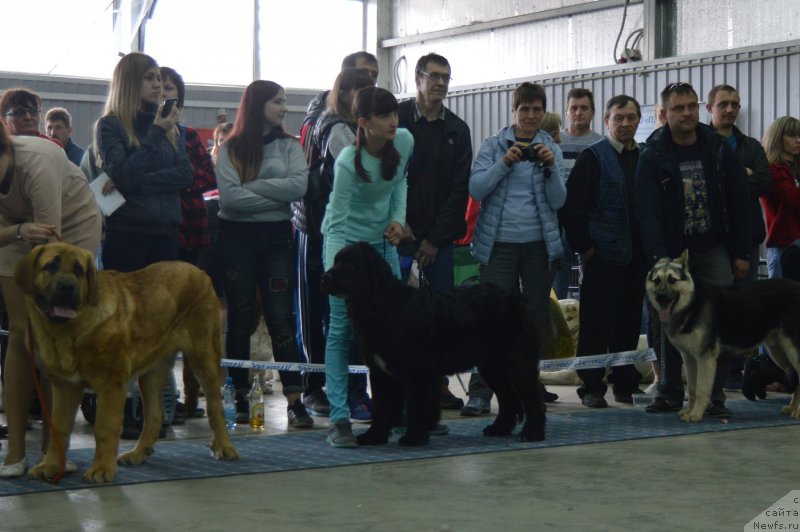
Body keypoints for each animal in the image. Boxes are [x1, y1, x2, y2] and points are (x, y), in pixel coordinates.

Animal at [14, 243, 238, 484]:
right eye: (51, 266)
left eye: (79, 270)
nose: (67, 287)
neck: (70, 330)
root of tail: (200, 271)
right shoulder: (66, 386)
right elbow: (60, 428)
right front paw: (51, 466)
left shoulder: (111, 384)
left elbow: (104, 428)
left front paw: (102, 469)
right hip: (152, 371)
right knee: (154, 415)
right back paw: (138, 453)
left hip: (204, 356)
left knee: (215, 407)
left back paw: (224, 446)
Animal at [318, 243, 544, 446]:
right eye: (336, 261)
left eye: (350, 265)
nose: (324, 278)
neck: (384, 307)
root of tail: (521, 299)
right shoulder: (380, 371)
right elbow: (382, 407)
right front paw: (374, 437)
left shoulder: (419, 371)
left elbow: (417, 406)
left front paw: (413, 438)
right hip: (492, 366)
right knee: (508, 399)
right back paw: (499, 429)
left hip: (518, 362)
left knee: (532, 398)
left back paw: (532, 433)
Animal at [648, 251, 800, 422]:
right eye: (656, 281)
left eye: (672, 280)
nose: (661, 297)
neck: (692, 304)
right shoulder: (689, 358)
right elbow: (692, 389)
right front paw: (689, 411)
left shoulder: (705, 358)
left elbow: (701, 389)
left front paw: (695, 414)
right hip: (779, 353)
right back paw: (792, 408)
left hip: (791, 350)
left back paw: (798, 411)